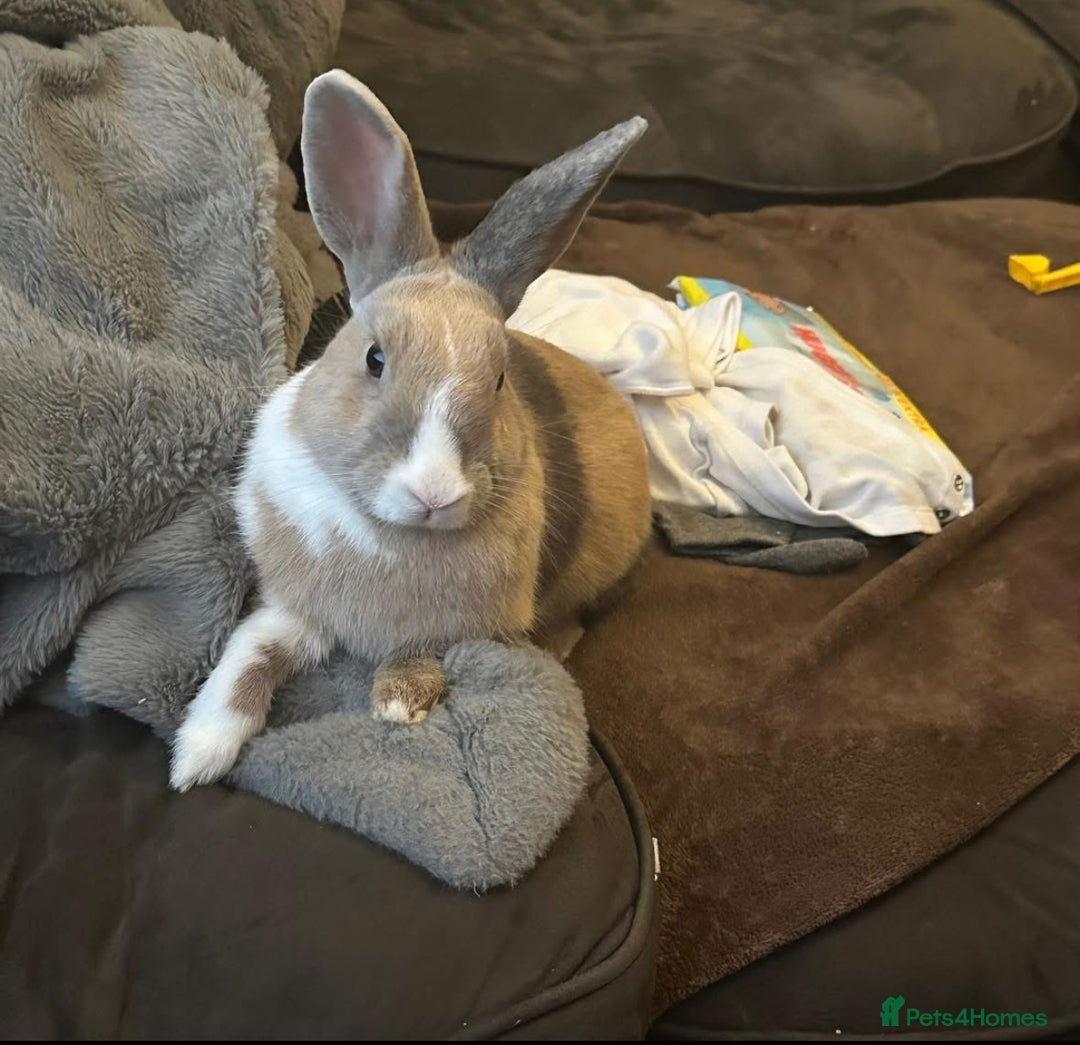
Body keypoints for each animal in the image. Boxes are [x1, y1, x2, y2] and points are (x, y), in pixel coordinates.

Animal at [169, 70, 652, 791]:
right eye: (374, 358)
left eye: (500, 379)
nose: (434, 492)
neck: (385, 534)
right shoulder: (295, 606)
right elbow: (249, 653)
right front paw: (197, 755)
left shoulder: (458, 626)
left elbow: (421, 650)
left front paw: (398, 701)